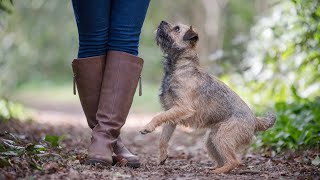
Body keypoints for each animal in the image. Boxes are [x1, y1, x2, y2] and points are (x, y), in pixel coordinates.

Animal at [139, 20, 276, 173]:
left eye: (177, 28)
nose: (162, 22)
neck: (181, 67)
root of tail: (255, 119)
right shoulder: (172, 114)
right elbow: (163, 138)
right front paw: (162, 156)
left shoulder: (182, 108)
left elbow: (158, 116)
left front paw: (147, 127)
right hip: (211, 140)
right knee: (223, 159)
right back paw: (214, 168)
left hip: (223, 136)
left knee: (234, 161)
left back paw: (218, 172)